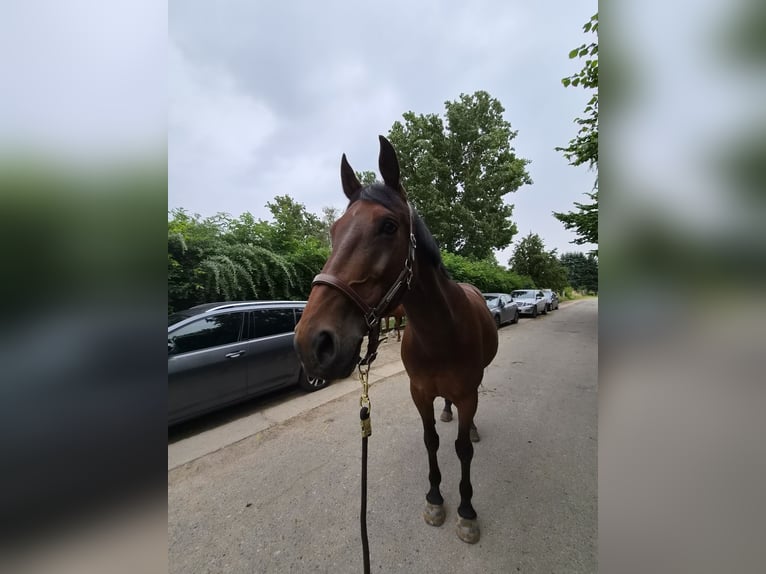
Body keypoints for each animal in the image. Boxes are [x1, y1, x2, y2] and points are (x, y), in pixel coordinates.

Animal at [293, 136, 498, 544]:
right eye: (334, 231)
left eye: (388, 226)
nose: (312, 342)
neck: (440, 333)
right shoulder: (419, 392)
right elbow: (431, 441)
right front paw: (435, 498)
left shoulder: (468, 393)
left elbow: (462, 449)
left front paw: (466, 512)